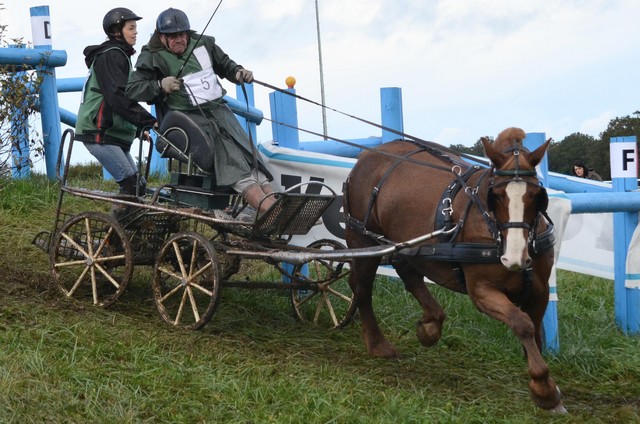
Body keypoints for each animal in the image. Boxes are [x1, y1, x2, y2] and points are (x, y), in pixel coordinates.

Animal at [344, 126, 564, 410]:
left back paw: (430, 325)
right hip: (363, 238)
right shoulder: (481, 291)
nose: (513, 258)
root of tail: (366, 155)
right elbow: (522, 323)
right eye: (496, 196)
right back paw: (377, 343)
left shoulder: (539, 290)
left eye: (537, 196)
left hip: (406, 242)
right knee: (362, 288)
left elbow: (535, 331)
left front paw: (542, 381)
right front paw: (544, 387)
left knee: (409, 274)